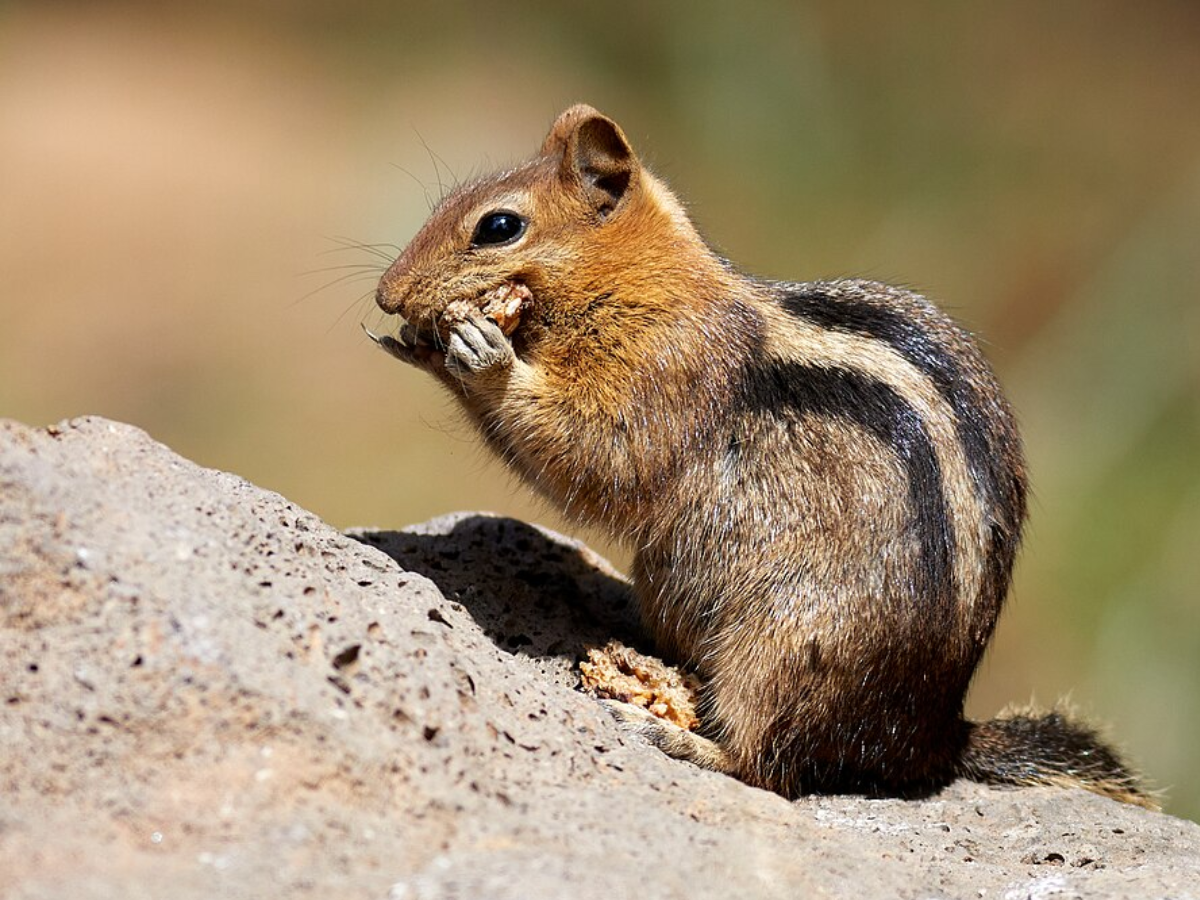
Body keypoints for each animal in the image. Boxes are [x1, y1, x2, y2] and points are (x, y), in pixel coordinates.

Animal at [369, 104, 1153, 807]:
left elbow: (598, 456)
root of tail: (929, 738)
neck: (647, 281)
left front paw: (479, 354)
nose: (386, 294)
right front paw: (417, 343)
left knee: (767, 768)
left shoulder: (665, 373)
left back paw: (673, 735)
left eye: (498, 227)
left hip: (783, 649)